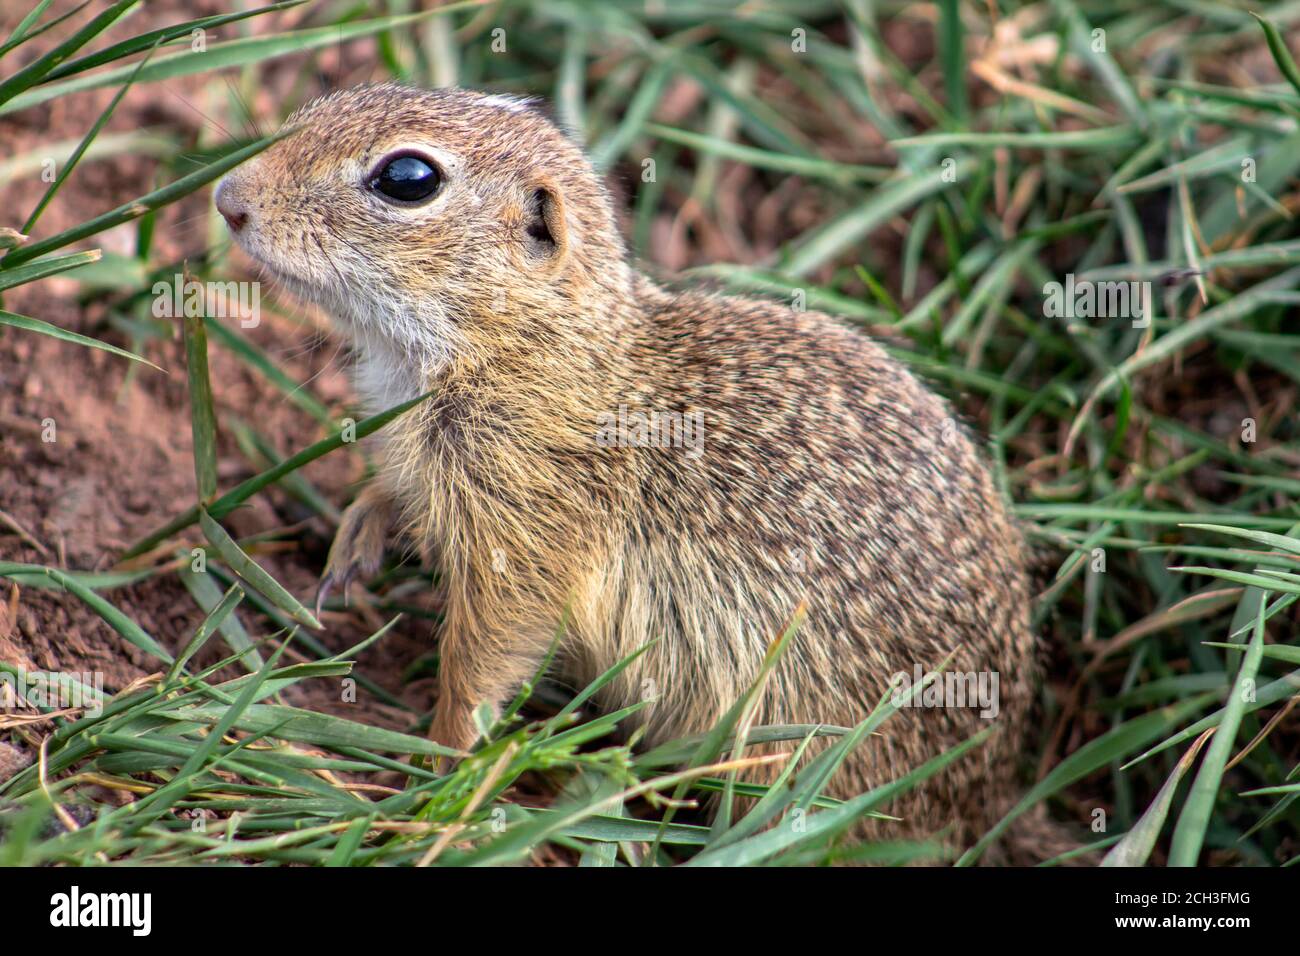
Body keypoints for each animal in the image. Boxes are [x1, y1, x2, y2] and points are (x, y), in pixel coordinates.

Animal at [218, 83, 1040, 853]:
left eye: (408, 178)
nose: (228, 198)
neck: (537, 344)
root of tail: (991, 787)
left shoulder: (525, 531)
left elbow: (489, 649)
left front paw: (439, 768)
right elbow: (392, 492)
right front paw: (354, 541)